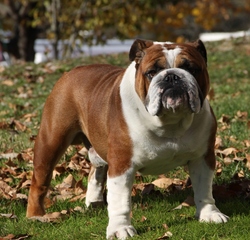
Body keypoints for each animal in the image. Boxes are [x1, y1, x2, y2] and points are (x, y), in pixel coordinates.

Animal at [26, 39, 229, 238]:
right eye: (151, 72)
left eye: (192, 69)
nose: (172, 77)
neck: (170, 121)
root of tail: (71, 72)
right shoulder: (121, 164)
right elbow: (120, 201)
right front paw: (120, 228)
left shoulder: (202, 158)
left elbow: (204, 189)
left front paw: (209, 214)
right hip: (51, 141)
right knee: (39, 180)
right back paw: (36, 215)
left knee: (96, 171)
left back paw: (94, 202)